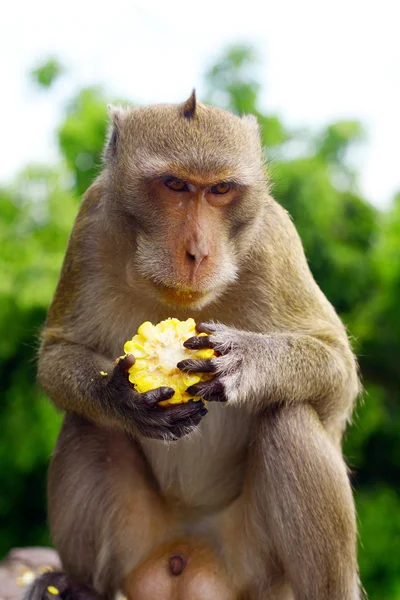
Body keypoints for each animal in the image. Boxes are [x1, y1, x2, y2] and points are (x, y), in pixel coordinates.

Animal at [26, 90, 360, 600]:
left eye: (220, 190)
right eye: (175, 185)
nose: (197, 253)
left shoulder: (273, 239)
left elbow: (337, 371)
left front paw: (250, 361)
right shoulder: (90, 222)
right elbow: (59, 351)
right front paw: (118, 397)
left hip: (254, 567)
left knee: (289, 418)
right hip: (137, 541)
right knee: (88, 426)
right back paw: (81, 586)